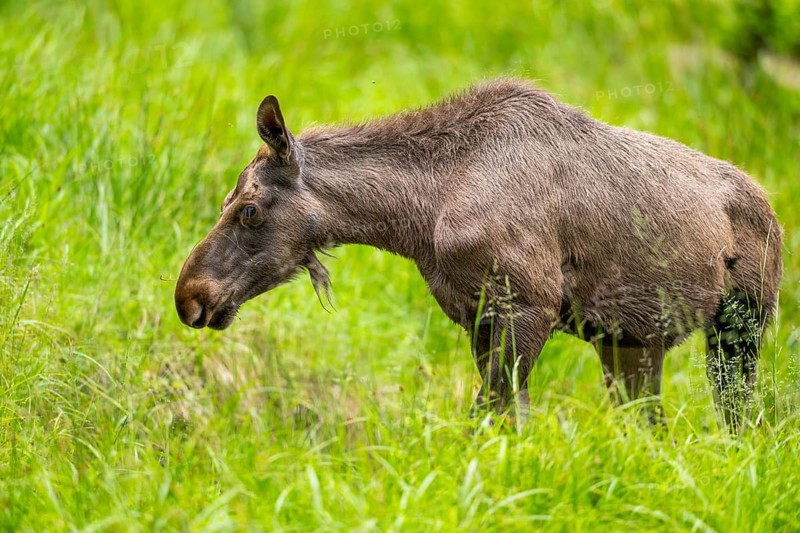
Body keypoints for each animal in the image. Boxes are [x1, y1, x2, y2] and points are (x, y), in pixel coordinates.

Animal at [175, 78, 782, 431]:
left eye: (248, 209)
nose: (190, 295)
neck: (422, 216)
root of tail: (770, 209)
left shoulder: (530, 307)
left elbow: (490, 417)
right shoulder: (477, 315)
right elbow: (504, 418)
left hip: (740, 327)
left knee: (740, 419)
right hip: (631, 343)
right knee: (651, 427)